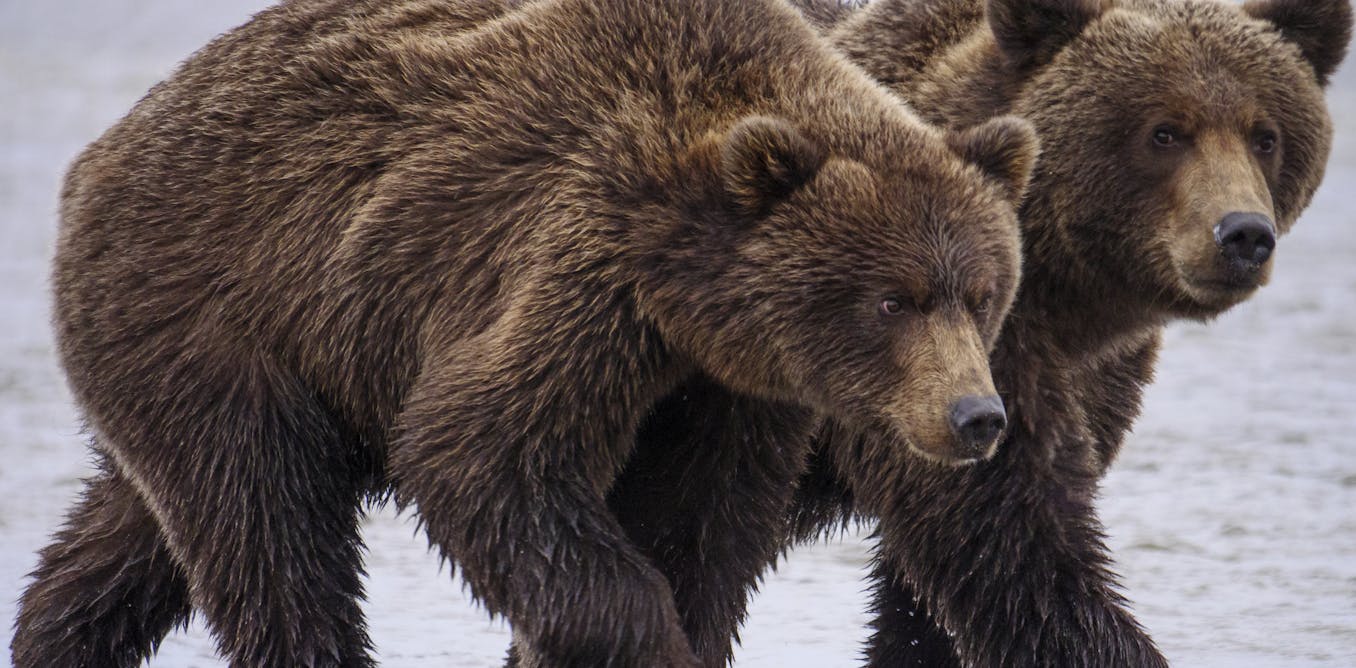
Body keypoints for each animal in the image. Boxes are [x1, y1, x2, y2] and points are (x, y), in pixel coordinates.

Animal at [10, 0, 1041, 666]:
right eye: (892, 300)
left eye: (983, 291)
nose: (975, 415)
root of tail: (103, 150)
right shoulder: (572, 263)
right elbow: (482, 451)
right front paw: (649, 640)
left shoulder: (731, 387)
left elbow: (703, 524)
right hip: (217, 312)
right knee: (268, 524)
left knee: (136, 532)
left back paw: (53, 633)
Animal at [597, 0, 1352, 666]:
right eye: (1166, 131)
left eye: (1265, 134)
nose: (1243, 233)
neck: (1063, 293)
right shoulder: (948, 360)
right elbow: (1018, 549)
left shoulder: (1081, 374)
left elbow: (931, 598)